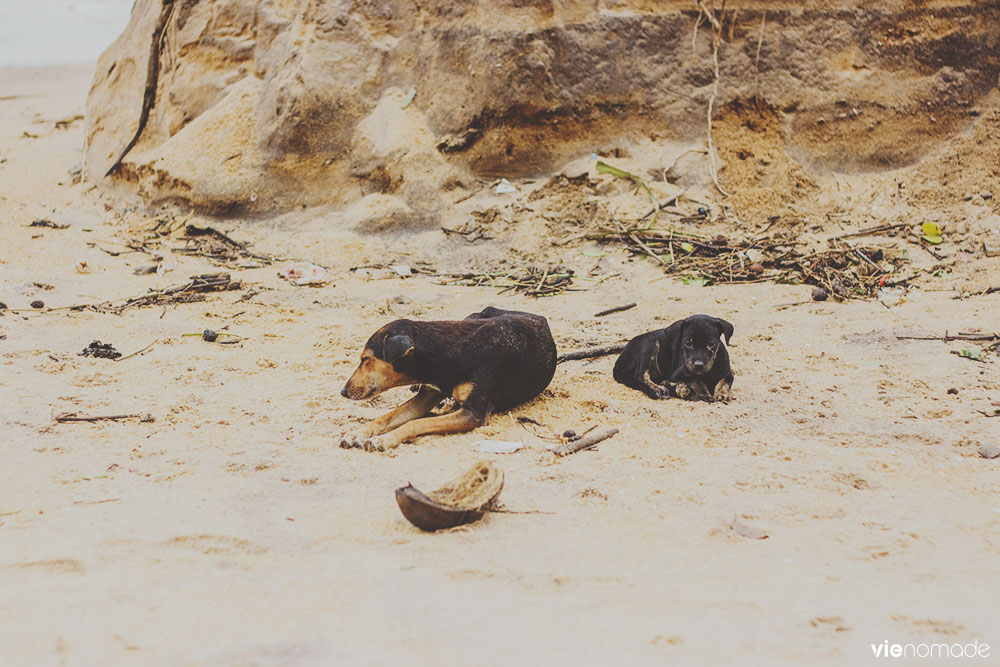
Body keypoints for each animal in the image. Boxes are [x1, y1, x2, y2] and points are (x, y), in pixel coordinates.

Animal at [342, 308, 564, 454]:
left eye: (366, 360)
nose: (342, 392)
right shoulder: (427, 396)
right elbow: (386, 417)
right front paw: (358, 433)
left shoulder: (473, 413)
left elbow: (416, 423)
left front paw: (384, 439)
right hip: (474, 314)